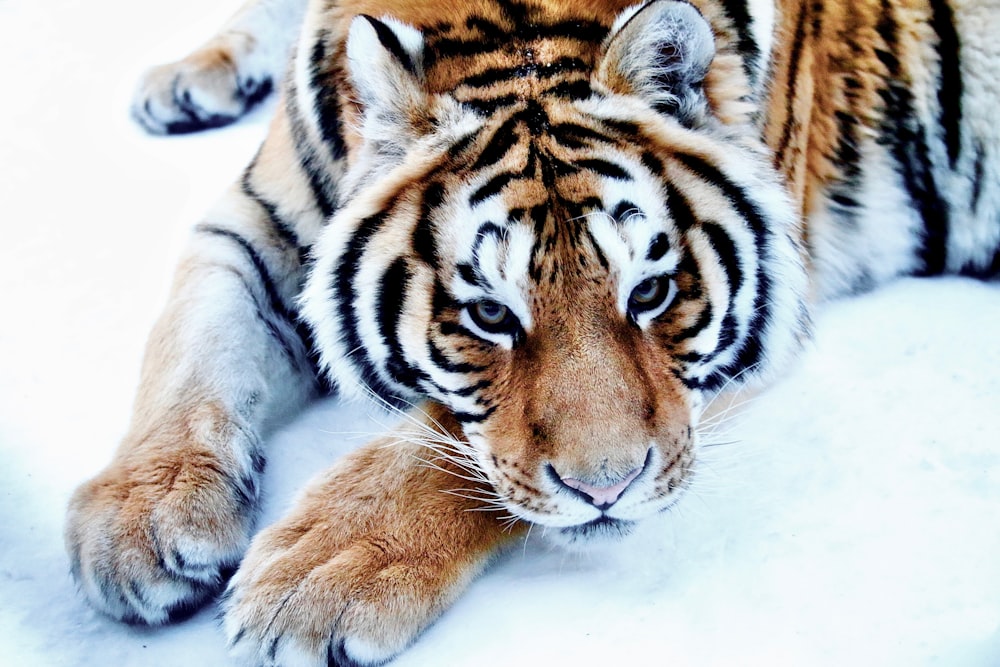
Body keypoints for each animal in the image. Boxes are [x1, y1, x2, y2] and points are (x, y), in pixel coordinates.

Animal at [64, 0, 1000, 664]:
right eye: (488, 313)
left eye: (652, 291)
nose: (609, 490)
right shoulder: (255, 225)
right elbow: (189, 344)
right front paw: (138, 520)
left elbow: (443, 444)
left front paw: (317, 574)